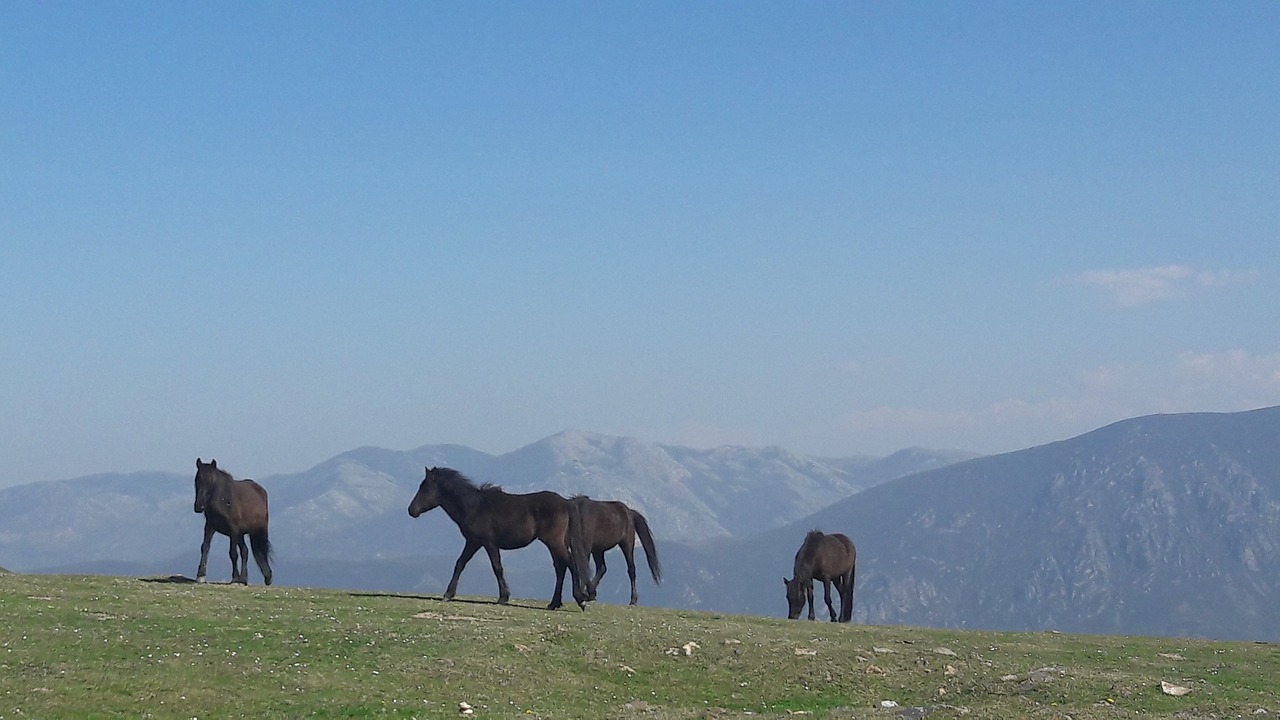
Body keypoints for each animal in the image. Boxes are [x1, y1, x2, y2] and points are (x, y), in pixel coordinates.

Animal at [407, 461, 591, 607]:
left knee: (570, 564)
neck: (473, 507)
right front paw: (449, 594)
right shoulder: (473, 542)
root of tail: (566, 503)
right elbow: (460, 563)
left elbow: (497, 567)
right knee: (561, 567)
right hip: (555, 543)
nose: (411, 510)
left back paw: (580, 599)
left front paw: (503, 597)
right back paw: (554, 603)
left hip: (554, 542)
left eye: (425, 488)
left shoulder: (488, 542)